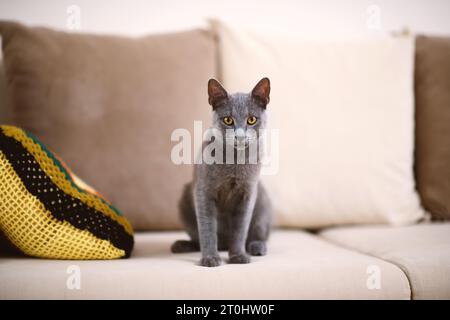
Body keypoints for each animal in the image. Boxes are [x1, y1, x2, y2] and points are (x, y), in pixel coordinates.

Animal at [171, 77, 270, 268]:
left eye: (252, 119)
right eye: (228, 120)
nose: (240, 136)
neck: (235, 162)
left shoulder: (248, 193)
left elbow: (240, 229)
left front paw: (238, 256)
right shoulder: (203, 191)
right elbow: (207, 227)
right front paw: (210, 258)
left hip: (263, 199)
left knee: (259, 232)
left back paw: (257, 247)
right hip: (183, 201)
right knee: (197, 237)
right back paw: (181, 245)